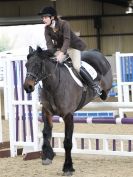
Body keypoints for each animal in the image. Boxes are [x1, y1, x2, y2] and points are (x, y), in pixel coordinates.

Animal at [23, 46, 112, 176]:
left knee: (104, 93)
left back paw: (98, 90)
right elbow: (46, 133)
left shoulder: (68, 116)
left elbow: (68, 142)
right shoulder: (46, 111)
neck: (53, 85)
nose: (27, 87)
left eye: (38, 64)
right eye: (26, 65)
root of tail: (97, 52)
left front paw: (68, 167)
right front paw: (47, 156)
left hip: (106, 87)